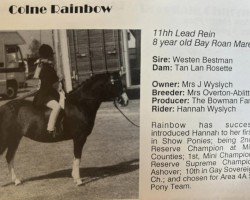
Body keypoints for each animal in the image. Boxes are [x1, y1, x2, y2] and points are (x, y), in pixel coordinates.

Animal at [0, 72, 129, 186]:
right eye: (114, 83)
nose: (125, 100)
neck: (79, 104)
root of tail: (4, 107)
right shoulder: (79, 138)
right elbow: (77, 157)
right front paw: (78, 180)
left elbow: (75, 157)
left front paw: (74, 177)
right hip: (8, 138)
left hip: (15, 139)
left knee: (9, 157)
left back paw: (16, 181)